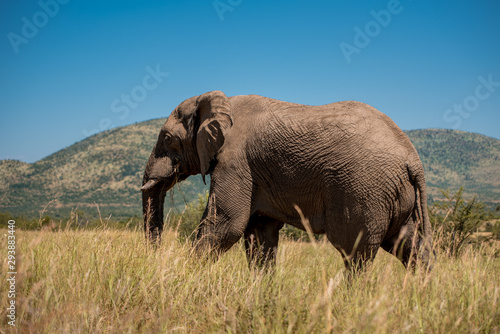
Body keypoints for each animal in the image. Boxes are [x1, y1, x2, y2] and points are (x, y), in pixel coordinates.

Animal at [142, 90, 434, 272]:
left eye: (167, 138)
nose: (156, 254)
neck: (220, 101)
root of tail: (412, 158)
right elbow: (260, 233)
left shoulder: (236, 161)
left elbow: (227, 223)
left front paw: (184, 276)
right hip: (397, 194)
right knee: (412, 249)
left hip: (365, 189)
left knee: (356, 254)